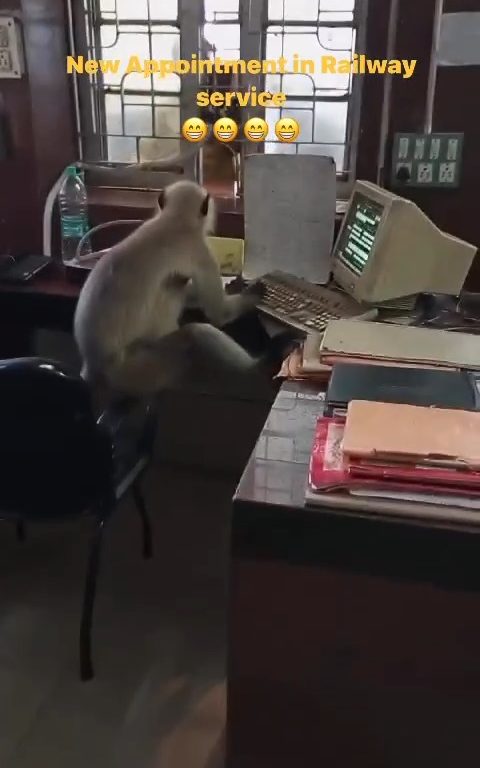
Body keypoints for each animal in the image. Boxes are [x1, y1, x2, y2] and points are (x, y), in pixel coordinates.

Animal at [75, 176, 270, 400]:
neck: (174, 220)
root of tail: (94, 370)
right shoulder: (201, 252)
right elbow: (218, 313)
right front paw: (251, 293)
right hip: (140, 371)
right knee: (194, 333)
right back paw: (258, 367)